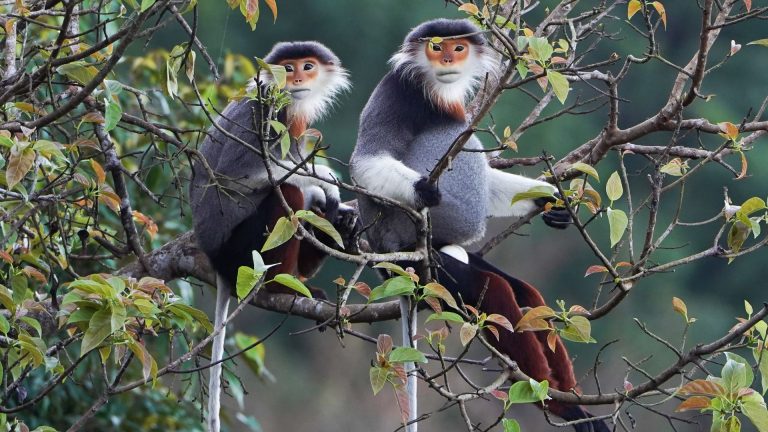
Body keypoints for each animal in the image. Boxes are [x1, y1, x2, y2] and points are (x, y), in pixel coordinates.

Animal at [189, 41, 352, 432]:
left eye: (307, 66)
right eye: (288, 67)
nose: (296, 79)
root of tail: (215, 260)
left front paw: (338, 209)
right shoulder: (264, 116)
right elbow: (236, 179)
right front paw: (323, 181)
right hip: (238, 250)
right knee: (287, 194)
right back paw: (284, 286)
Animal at [349, 19, 609, 432]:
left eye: (458, 47)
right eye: (436, 46)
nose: (447, 59)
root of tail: (386, 262)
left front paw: (550, 200)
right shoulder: (398, 92)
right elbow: (366, 161)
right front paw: (425, 190)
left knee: (523, 293)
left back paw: (571, 401)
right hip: (421, 266)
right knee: (496, 292)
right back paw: (558, 402)